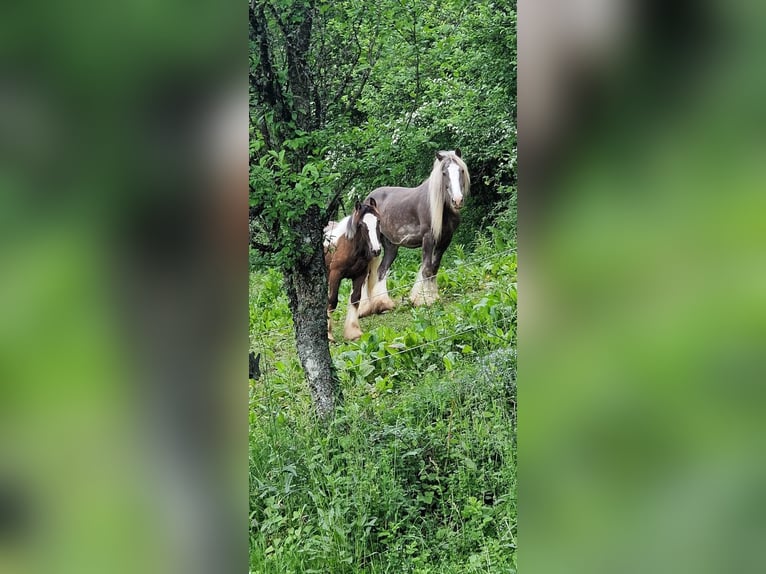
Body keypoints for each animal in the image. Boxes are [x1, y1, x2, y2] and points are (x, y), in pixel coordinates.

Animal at [324, 199, 384, 342]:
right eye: (361, 224)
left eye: (378, 221)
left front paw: (353, 331)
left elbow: (355, 299)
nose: (376, 250)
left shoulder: (360, 275)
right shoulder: (335, 275)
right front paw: (329, 335)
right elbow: (332, 301)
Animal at [362, 151, 474, 318]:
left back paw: (382, 304)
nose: (457, 200)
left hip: (391, 246)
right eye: (444, 173)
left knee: (382, 270)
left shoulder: (445, 240)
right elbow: (426, 269)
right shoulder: (428, 238)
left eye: (460, 170)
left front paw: (432, 296)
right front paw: (425, 300)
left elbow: (434, 268)